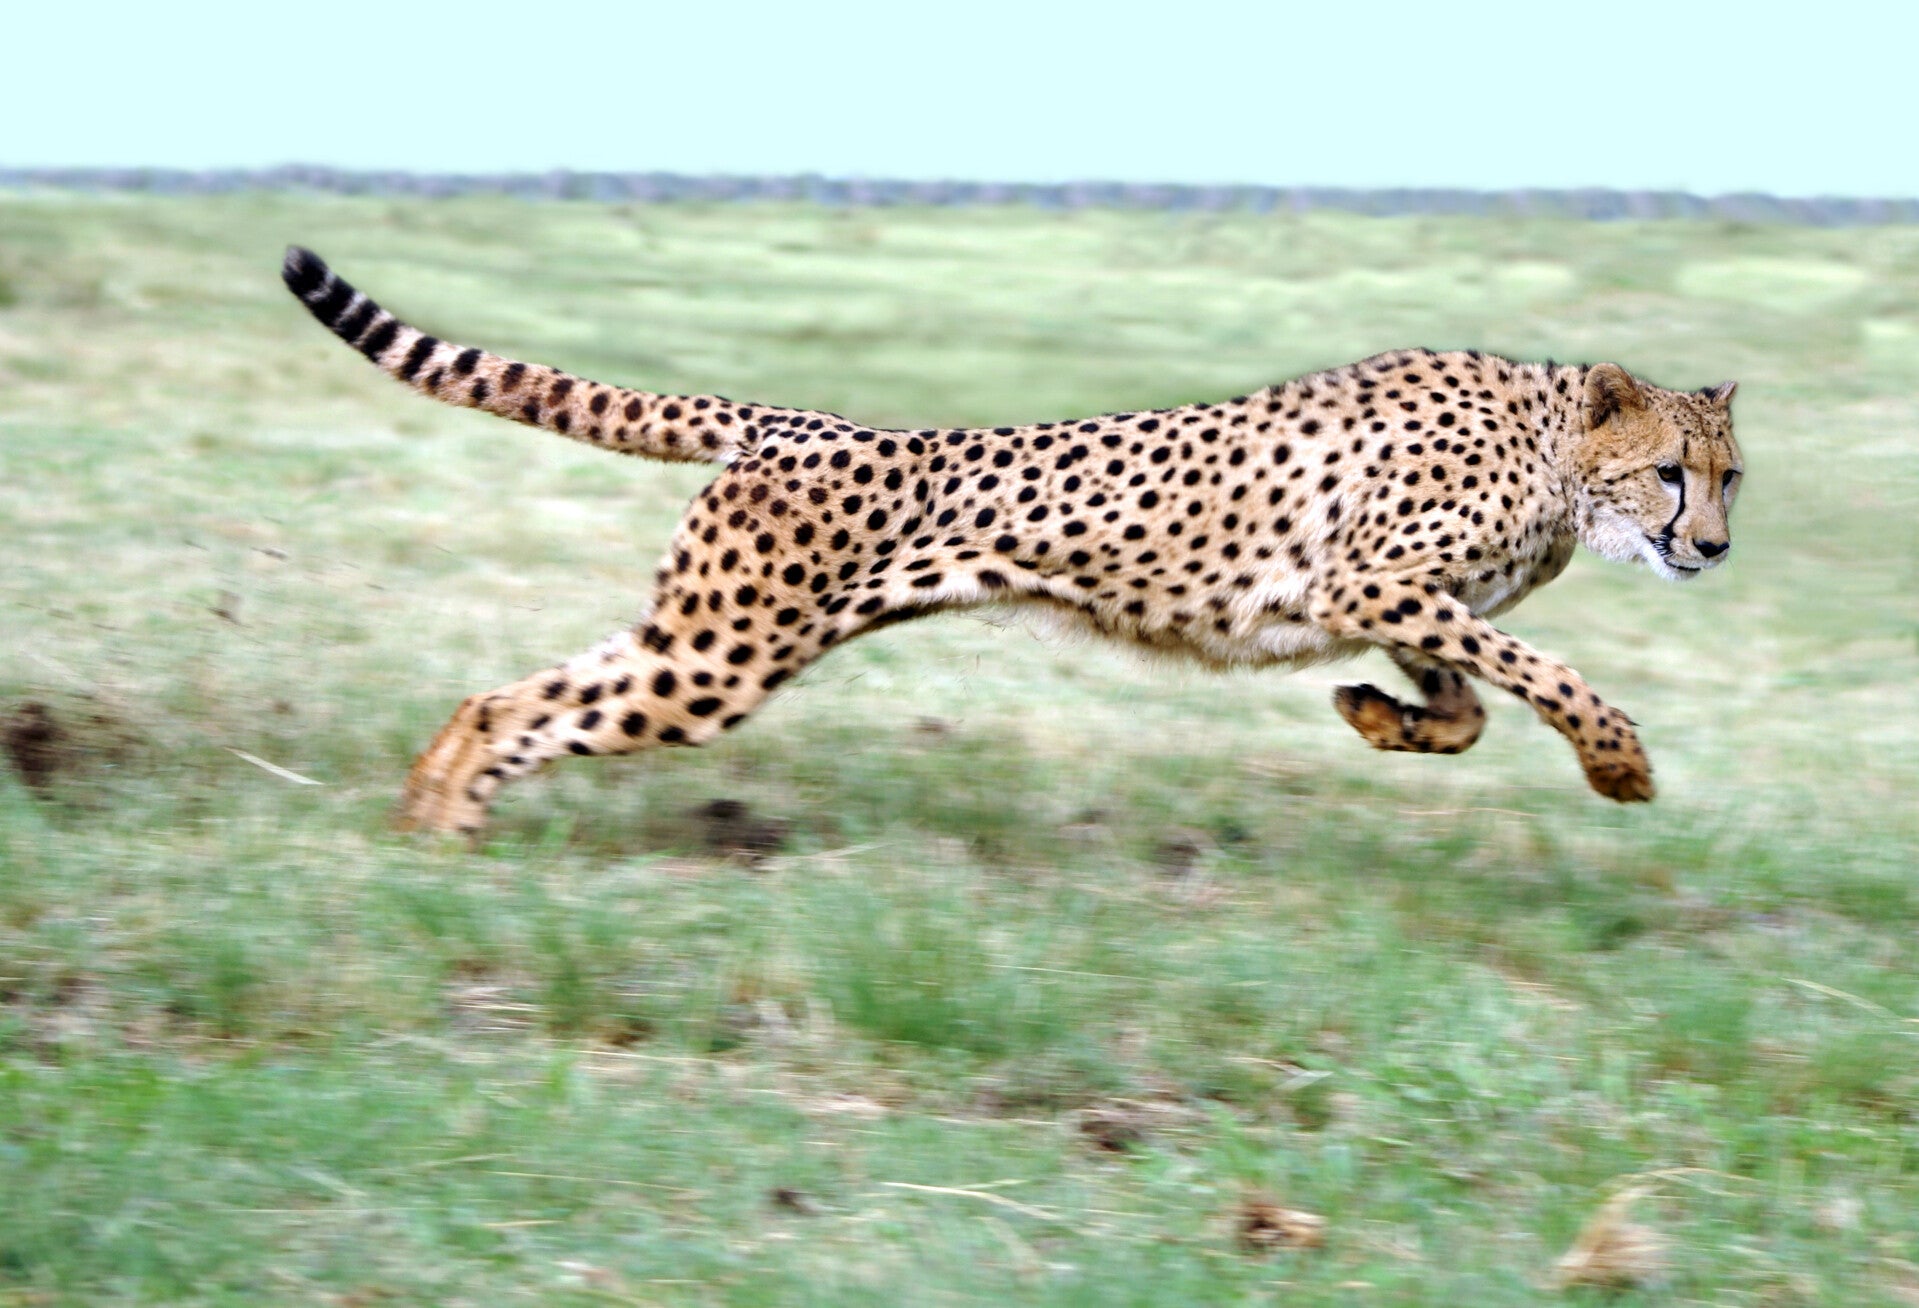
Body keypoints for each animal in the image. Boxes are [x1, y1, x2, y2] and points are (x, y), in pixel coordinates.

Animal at [281, 247, 1742, 834]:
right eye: (1670, 476)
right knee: (520, 703)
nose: (1715, 549)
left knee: (507, 696)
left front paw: (1375, 720)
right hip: (719, 657)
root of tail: (793, 419)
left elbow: (1468, 702)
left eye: (1731, 478)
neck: (1555, 456)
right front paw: (1619, 764)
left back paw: (429, 825)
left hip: (701, 637)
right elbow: (1543, 680)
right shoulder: (1371, 578)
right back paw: (438, 828)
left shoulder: (1391, 604)